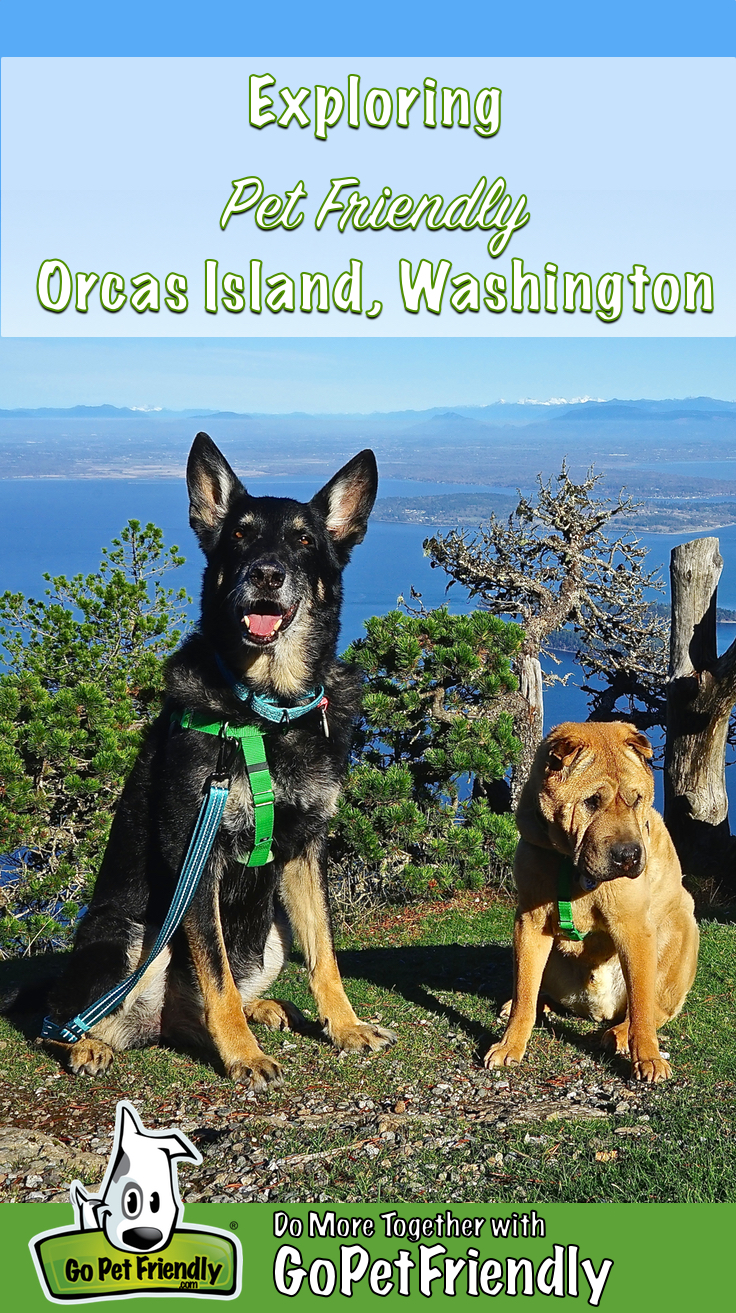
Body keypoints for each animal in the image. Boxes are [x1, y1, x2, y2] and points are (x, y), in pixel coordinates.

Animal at [42, 435, 393, 1092]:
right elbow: (218, 977)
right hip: (121, 937)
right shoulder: (195, 859)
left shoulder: (305, 849)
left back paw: (263, 1009)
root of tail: (156, 1021)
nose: (266, 574)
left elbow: (326, 955)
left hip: (271, 936)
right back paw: (90, 1045)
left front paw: (345, 1026)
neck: (266, 711)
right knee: (68, 1012)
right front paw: (243, 1057)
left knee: (203, 1006)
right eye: (240, 536)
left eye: (304, 540)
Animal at [485, 724, 697, 1081]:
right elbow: (524, 990)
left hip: (680, 929)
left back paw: (619, 1033)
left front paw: (649, 1058)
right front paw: (509, 1044)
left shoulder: (633, 927)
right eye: (592, 801)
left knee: (651, 1008)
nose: (628, 855)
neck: (570, 864)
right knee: (537, 990)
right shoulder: (529, 922)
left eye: (636, 799)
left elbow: (642, 1006)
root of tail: (598, 1008)